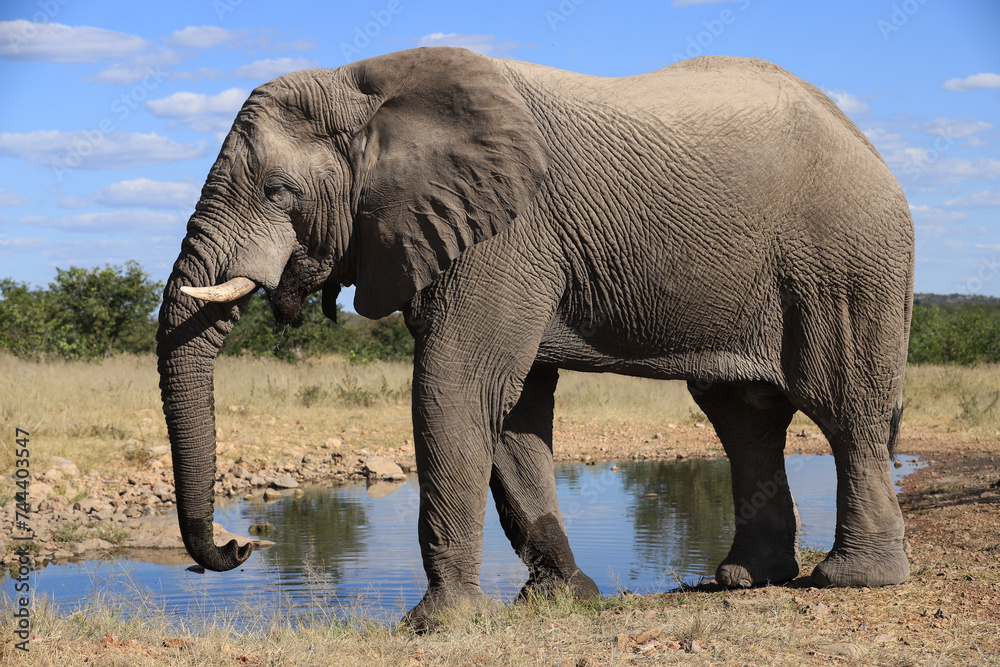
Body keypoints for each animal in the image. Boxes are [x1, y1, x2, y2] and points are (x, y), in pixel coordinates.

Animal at [157, 47, 914, 626]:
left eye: (278, 191)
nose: (240, 545)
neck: (364, 83)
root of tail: (867, 141)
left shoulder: (508, 235)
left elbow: (456, 383)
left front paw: (436, 624)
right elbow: (512, 408)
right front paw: (561, 600)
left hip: (846, 261)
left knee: (843, 407)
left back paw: (853, 579)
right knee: (743, 417)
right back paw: (745, 578)